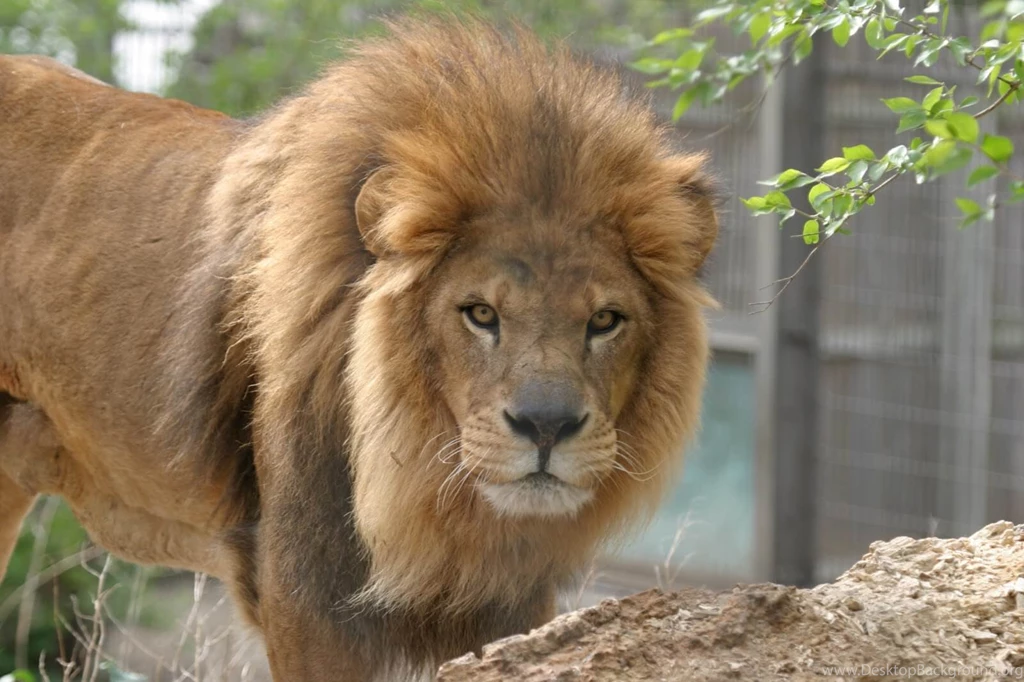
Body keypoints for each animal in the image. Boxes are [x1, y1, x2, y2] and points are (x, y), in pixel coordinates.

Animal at [0, 16, 719, 681]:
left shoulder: (510, 600)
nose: (548, 427)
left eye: (605, 320)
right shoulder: (307, 593)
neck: (432, 494)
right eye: (480, 314)